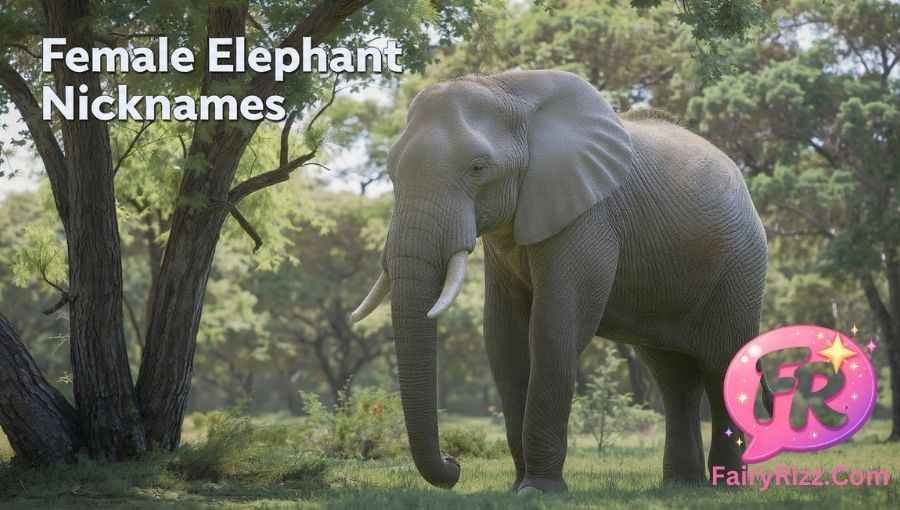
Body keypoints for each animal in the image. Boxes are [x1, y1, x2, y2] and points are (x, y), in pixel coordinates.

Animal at [350, 70, 767, 493]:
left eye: (478, 168)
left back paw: (726, 486)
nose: (454, 467)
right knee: (673, 377)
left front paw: (537, 490)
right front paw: (518, 487)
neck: (508, 91)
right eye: (390, 172)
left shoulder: (588, 215)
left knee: (722, 366)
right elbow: (503, 336)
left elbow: (555, 325)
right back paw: (682, 486)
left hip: (741, 266)